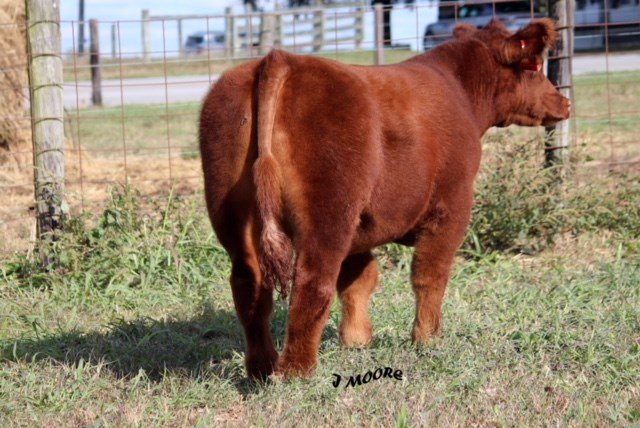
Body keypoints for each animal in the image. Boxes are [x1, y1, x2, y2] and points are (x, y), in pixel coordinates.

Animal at [199, 18, 571, 379]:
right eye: (534, 66)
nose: (565, 103)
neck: (461, 92)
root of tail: (281, 60)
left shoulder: (360, 225)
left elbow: (359, 279)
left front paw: (357, 340)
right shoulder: (452, 205)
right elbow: (429, 274)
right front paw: (427, 338)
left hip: (231, 209)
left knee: (248, 283)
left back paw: (261, 369)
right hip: (328, 209)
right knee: (312, 280)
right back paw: (296, 372)